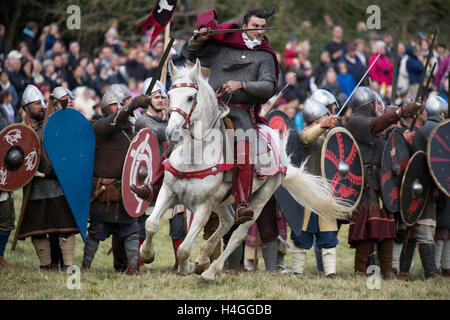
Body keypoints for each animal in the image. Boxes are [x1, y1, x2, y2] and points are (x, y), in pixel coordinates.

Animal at [141, 59, 352, 282]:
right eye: (170, 96)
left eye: (190, 97)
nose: (171, 133)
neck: (195, 154)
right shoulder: (168, 191)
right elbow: (151, 224)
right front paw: (147, 254)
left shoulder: (204, 206)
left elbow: (184, 248)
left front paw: (185, 267)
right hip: (224, 200)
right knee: (228, 221)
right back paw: (204, 257)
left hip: (259, 198)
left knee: (237, 233)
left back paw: (210, 271)